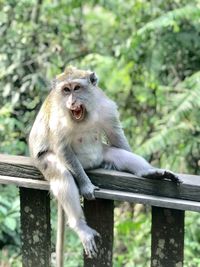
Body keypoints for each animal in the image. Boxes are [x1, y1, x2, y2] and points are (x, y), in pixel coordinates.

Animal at [28, 66, 180, 260]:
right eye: (66, 90)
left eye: (77, 88)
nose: (71, 101)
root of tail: (89, 165)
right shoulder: (58, 120)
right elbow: (63, 149)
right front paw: (86, 186)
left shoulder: (106, 107)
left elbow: (116, 136)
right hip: (46, 160)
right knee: (62, 173)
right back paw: (80, 226)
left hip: (100, 153)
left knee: (119, 154)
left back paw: (150, 173)